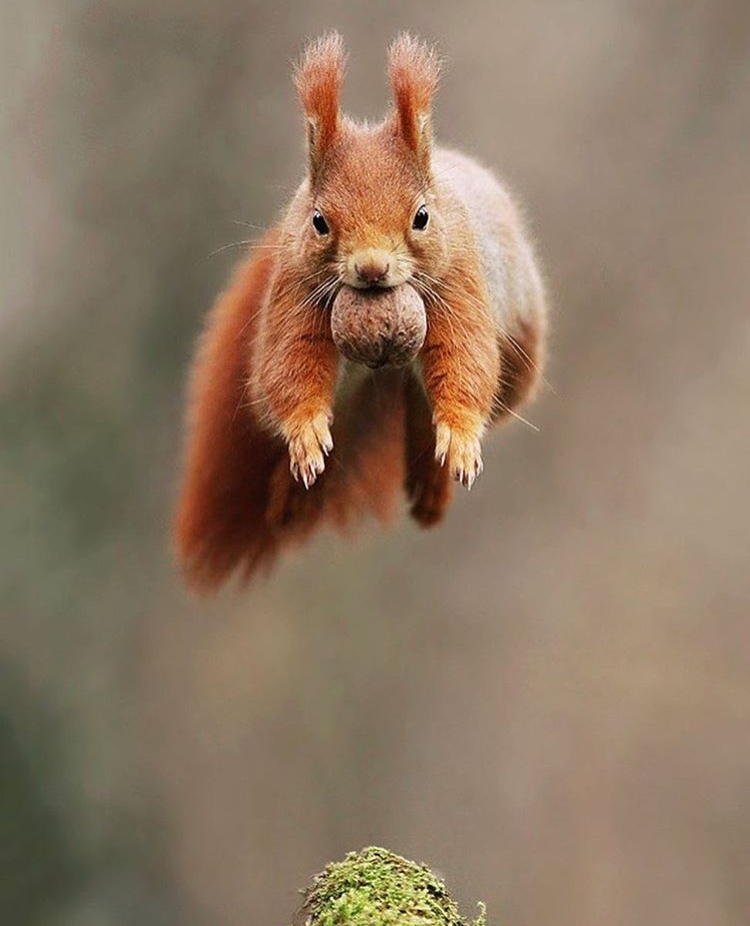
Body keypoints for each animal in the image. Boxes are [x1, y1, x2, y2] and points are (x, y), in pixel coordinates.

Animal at [177, 32, 552, 592]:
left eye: (421, 217)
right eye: (319, 221)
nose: (372, 268)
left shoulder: (459, 282)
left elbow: (465, 359)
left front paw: (461, 436)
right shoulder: (296, 289)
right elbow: (290, 368)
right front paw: (306, 434)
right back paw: (291, 497)